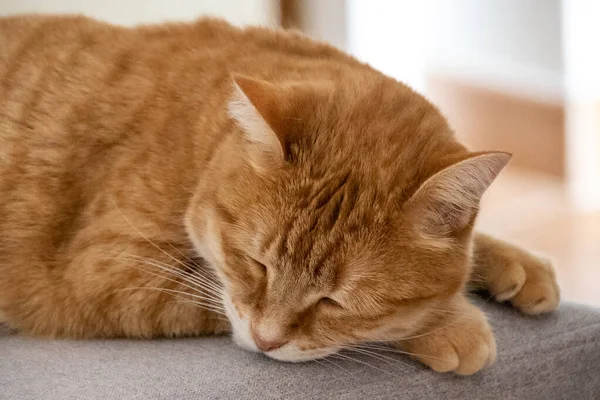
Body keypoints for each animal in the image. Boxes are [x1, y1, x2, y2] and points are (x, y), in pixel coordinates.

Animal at [1, 13, 564, 376]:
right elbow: (212, 297)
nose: (267, 341)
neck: (202, 137)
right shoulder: (107, 269)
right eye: (256, 265)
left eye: (336, 300)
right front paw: (449, 324)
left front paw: (512, 261)